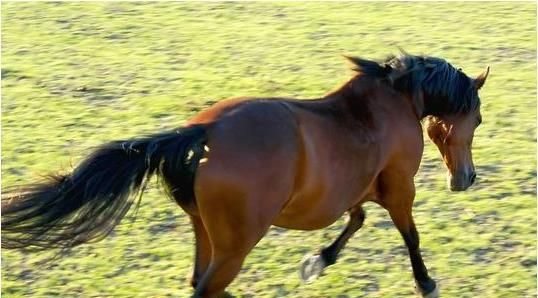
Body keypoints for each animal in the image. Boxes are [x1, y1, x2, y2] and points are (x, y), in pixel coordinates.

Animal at [1, 52, 486, 296]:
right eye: (477, 119)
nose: (467, 178)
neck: (393, 103)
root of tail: (202, 131)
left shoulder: (360, 189)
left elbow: (355, 221)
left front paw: (318, 260)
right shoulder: (399, 189)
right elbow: (409, 235)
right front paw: (426, 282)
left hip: (206, 232)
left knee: (200, 284)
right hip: (236, 245)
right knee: (206, 290)